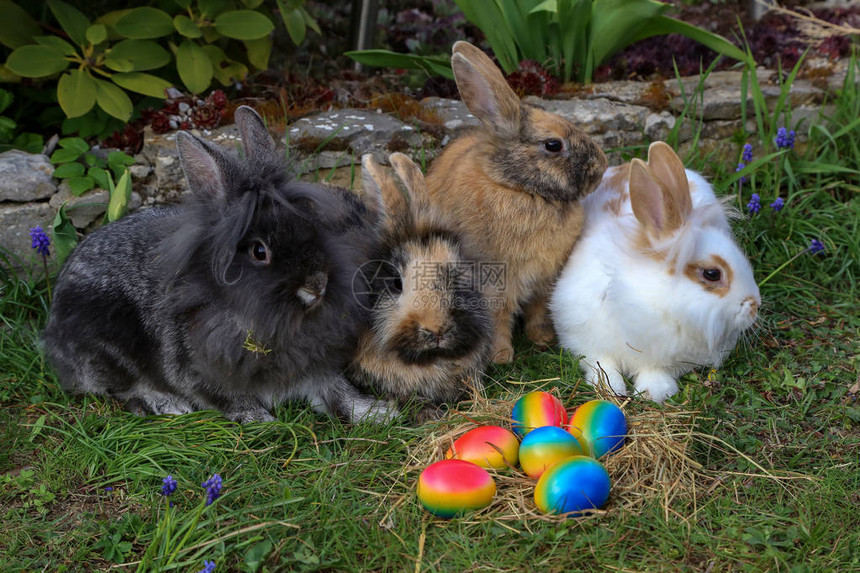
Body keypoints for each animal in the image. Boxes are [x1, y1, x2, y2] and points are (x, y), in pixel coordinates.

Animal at [43, 105, 396, 422]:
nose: (317, 284)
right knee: (121, 389)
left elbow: (337, 391)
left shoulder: (316, 365)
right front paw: (260, 419)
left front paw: (378, 413)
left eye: (311, 223)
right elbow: (229, 399)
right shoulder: (202, 372)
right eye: (259, 252)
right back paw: (169, 404)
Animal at [426, 41, 608, 362]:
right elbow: (498, 317)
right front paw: (501, 356)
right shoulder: (496, 281)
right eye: (553, 145)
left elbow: (538, 310)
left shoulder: (544, 281)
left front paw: (542, 339)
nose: (601, 168)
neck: (520, 188)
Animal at [552, 142, 760, 402]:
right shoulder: (582, 336)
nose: (755, 305)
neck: (655, 301)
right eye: (712, 273)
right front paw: (609, 388)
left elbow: (654, 369)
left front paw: (654, 392)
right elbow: (602, 363)